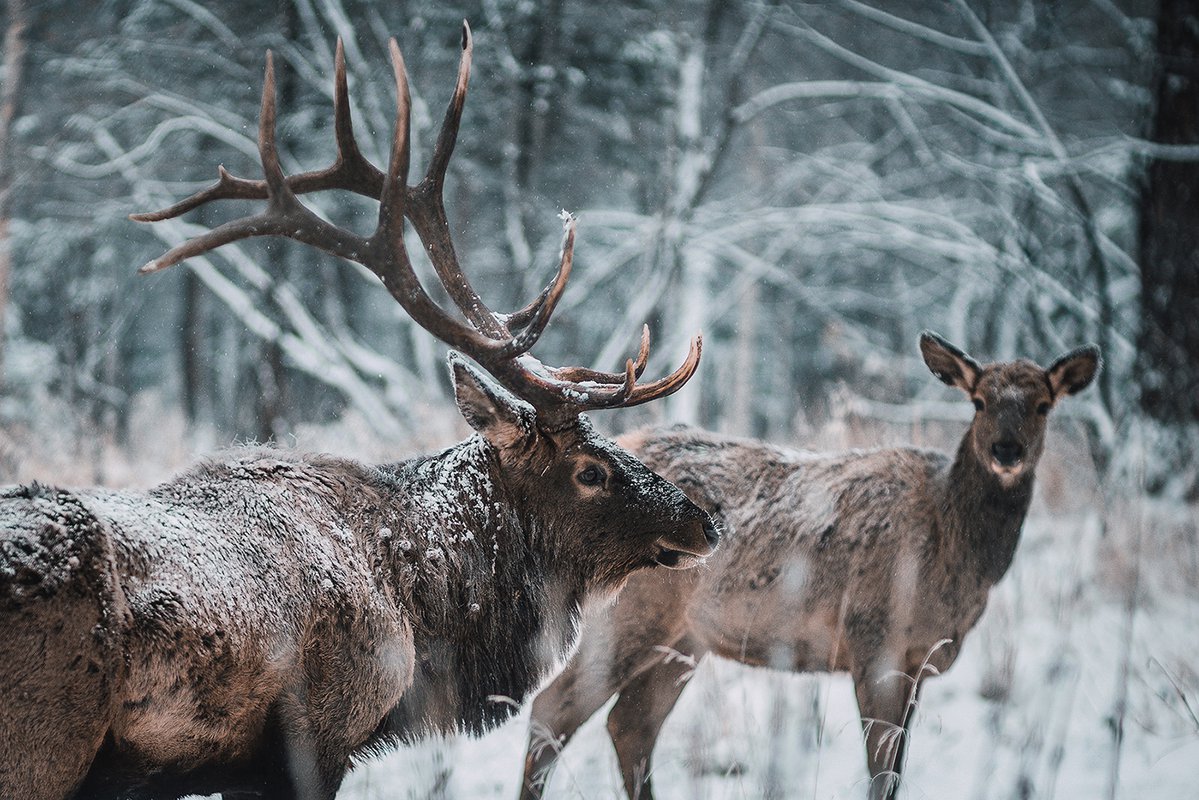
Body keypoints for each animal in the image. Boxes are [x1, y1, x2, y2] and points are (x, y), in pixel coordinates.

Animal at [520, 331, 1098, 800]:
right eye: (977, 402)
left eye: (1043, 405)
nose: (1006, 450)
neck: (950, 550)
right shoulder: (873, 641)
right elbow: (880, 773)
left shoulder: (921, 659)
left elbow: (897, 772)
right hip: (625, 616)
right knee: (552, 711)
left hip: (686, 639)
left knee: (631, 726)